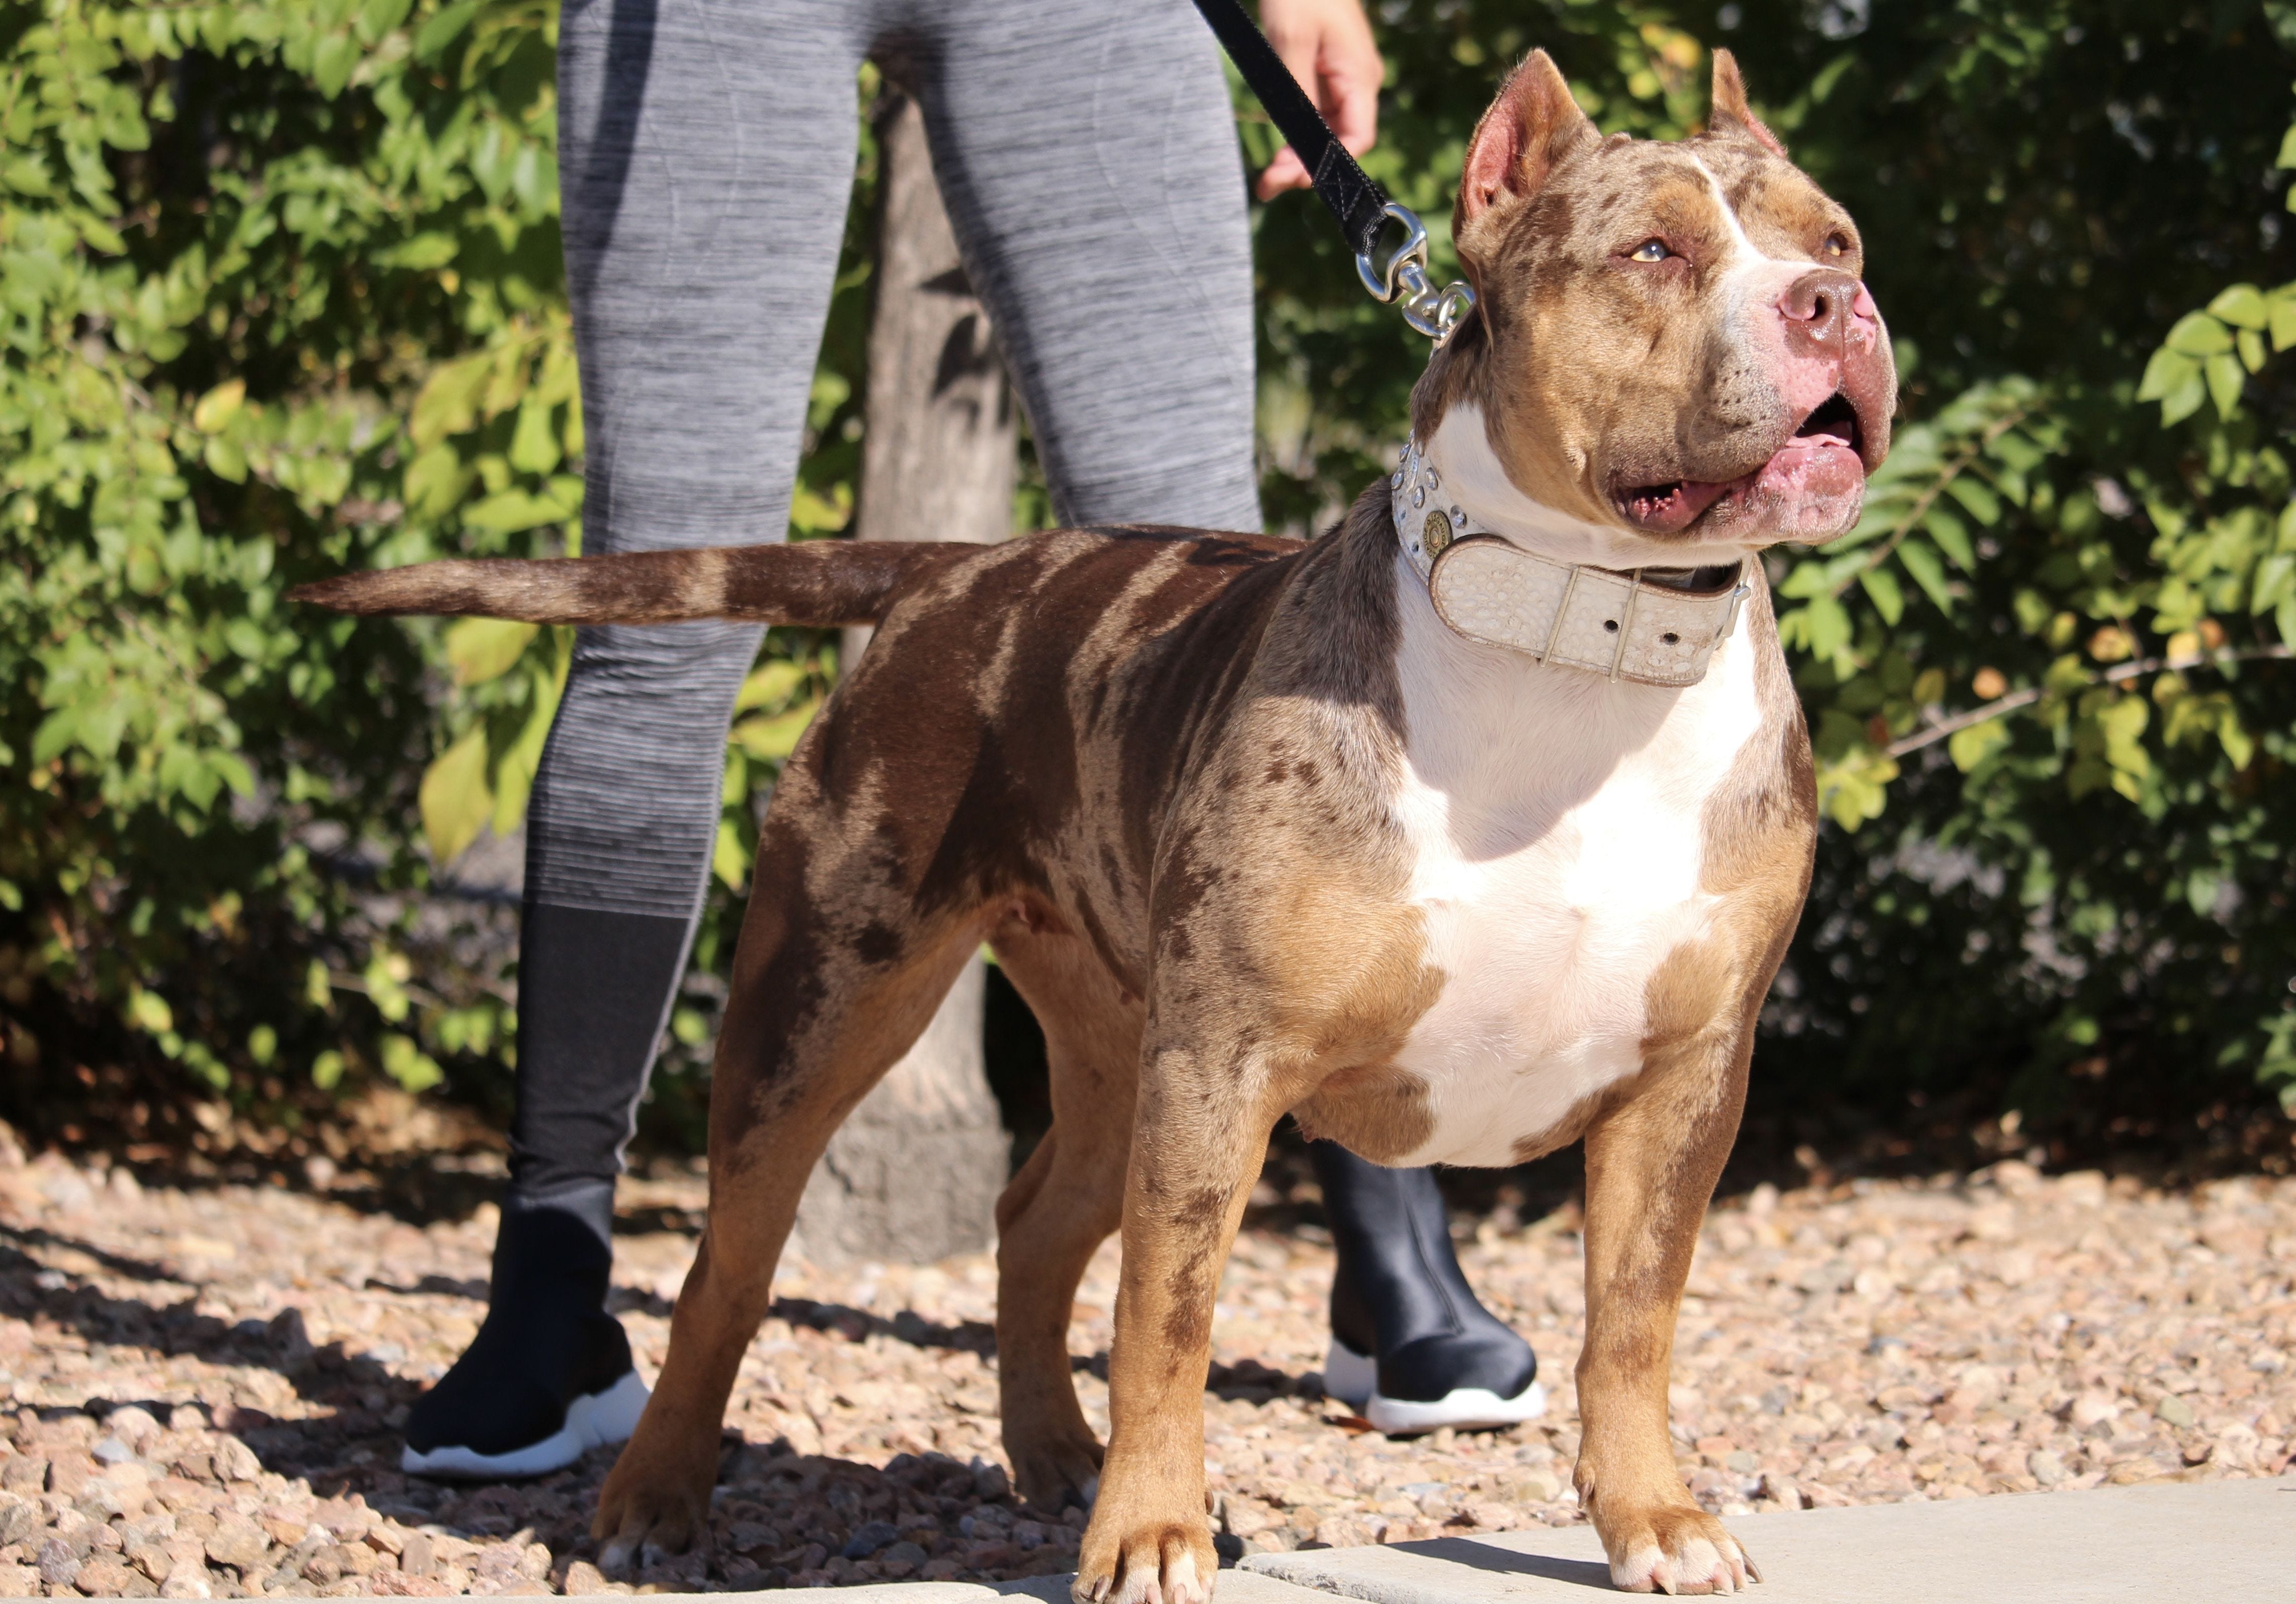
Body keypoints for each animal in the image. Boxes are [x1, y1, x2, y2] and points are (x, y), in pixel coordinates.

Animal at [296, 47, 1892, 1590]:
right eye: (1649, 253)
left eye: (1835, 238)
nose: (1832, 305)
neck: (1574, 642)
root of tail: (951, 567)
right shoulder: (1220, 1067)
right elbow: (1167, 1318)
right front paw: (1151, 1533)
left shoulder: (1685, 1081)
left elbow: (1631, 1318)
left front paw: (1654, 1518)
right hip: (825, 1007)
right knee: (728, 1268)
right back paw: (653, 1500)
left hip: (1112, 1041)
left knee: (1029, 1230)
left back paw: (1050, 1453)